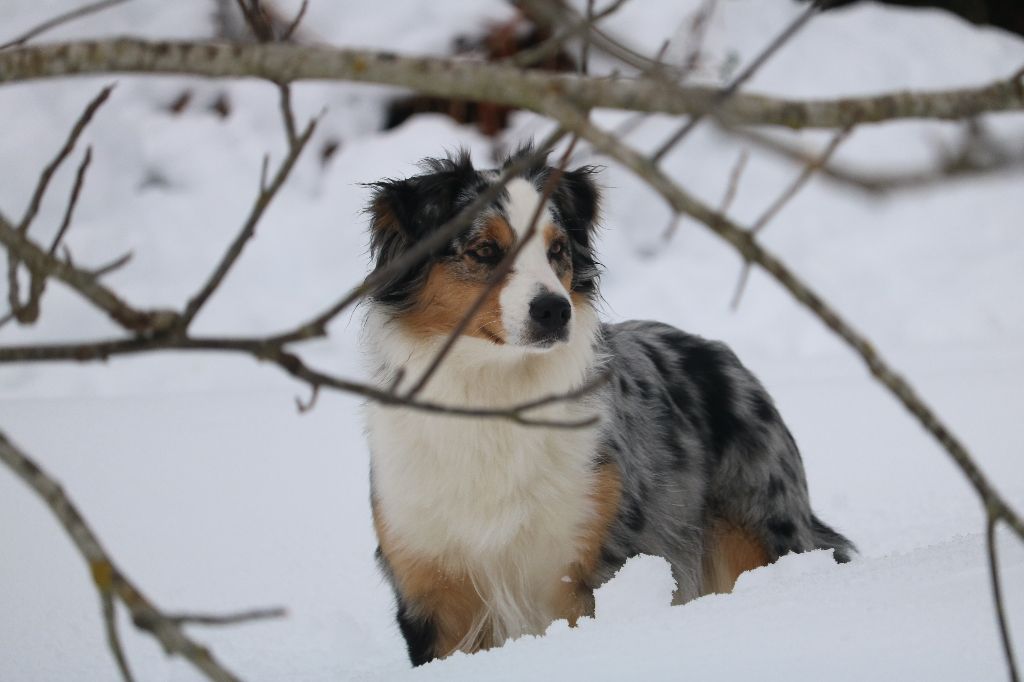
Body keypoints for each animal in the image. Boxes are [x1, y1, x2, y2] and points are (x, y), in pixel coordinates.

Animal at [362, 146, 856, 659]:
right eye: (484, 251)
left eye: (557, 250)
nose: (555, 310)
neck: (495, 393)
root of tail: (722, 355)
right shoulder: (430, 582)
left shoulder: (595, 558)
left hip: (758, 531)